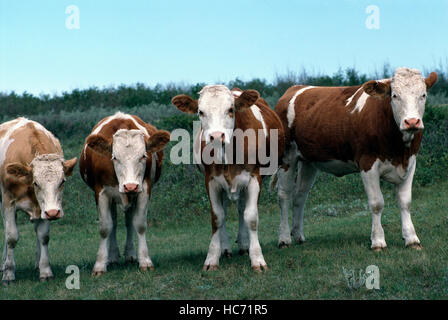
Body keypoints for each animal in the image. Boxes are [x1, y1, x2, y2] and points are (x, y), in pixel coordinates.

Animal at [0, 117, 77, 282]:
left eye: (62, 181)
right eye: (36, 183)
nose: (54, 213)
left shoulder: (45, 208)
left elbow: (43, 236)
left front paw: (45, 270)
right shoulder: (8, 202)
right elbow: (11, 236)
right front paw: (8, 273)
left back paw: (37, 264)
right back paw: (3, 264)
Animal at [79, 112, 171, 276]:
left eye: (143, 156)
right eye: (114, 157)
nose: (130, 186)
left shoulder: (144, 189)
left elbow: (139, 224)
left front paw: (145, 261)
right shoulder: (101, 192)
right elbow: (105, 228)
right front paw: (100, 265)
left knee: (128, 222)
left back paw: (129, 254)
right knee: (114, 222)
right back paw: (112, 256)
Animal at [172, 86, 284, 272]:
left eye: (231, 109)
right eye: (200, 112)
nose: (217, 136)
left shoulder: (254, 177)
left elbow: (251, 217)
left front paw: (257, 259)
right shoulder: (211, 181)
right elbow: (217, 217)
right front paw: (212, 258)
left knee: (241, 209)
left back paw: (244, 245)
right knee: (224, 211)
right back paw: (225, 249)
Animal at [272, 67, 438, 251]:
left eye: (423, 95)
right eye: (395, 95)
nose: (412, 122)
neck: (398, 150)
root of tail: (294, 88)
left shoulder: (410, 163)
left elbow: (405, 202)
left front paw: (411, 239)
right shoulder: (368, 164)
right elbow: (376, 203)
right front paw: (378, 241)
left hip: (308, 161)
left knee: (300, 195)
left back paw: (298, 235)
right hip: (286, 157)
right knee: (284, 195)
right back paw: (284, 239)